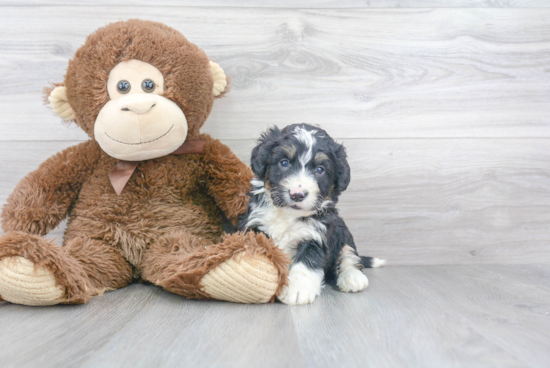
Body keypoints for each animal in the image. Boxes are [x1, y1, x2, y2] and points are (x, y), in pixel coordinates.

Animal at [239, 123, 386, 304]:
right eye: (284, 162)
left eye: (320, 169)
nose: (297, 194)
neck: (288, 215)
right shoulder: (255, 224)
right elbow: (254, 250)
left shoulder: (316, 235)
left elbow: (307, 262)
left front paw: (297, 290)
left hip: (344, 235)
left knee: (349, 256)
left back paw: (353, 277)